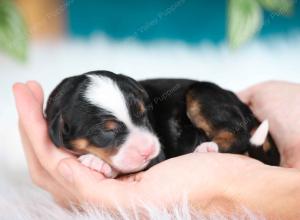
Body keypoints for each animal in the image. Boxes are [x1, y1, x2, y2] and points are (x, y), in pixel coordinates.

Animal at [45, 70, 280, 177]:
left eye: (144, 115)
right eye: (106, 132)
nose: (149, 150)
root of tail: (245, 108)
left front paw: (96, 161)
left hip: (201, 93)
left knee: (239, 137)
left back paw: (208, 148)